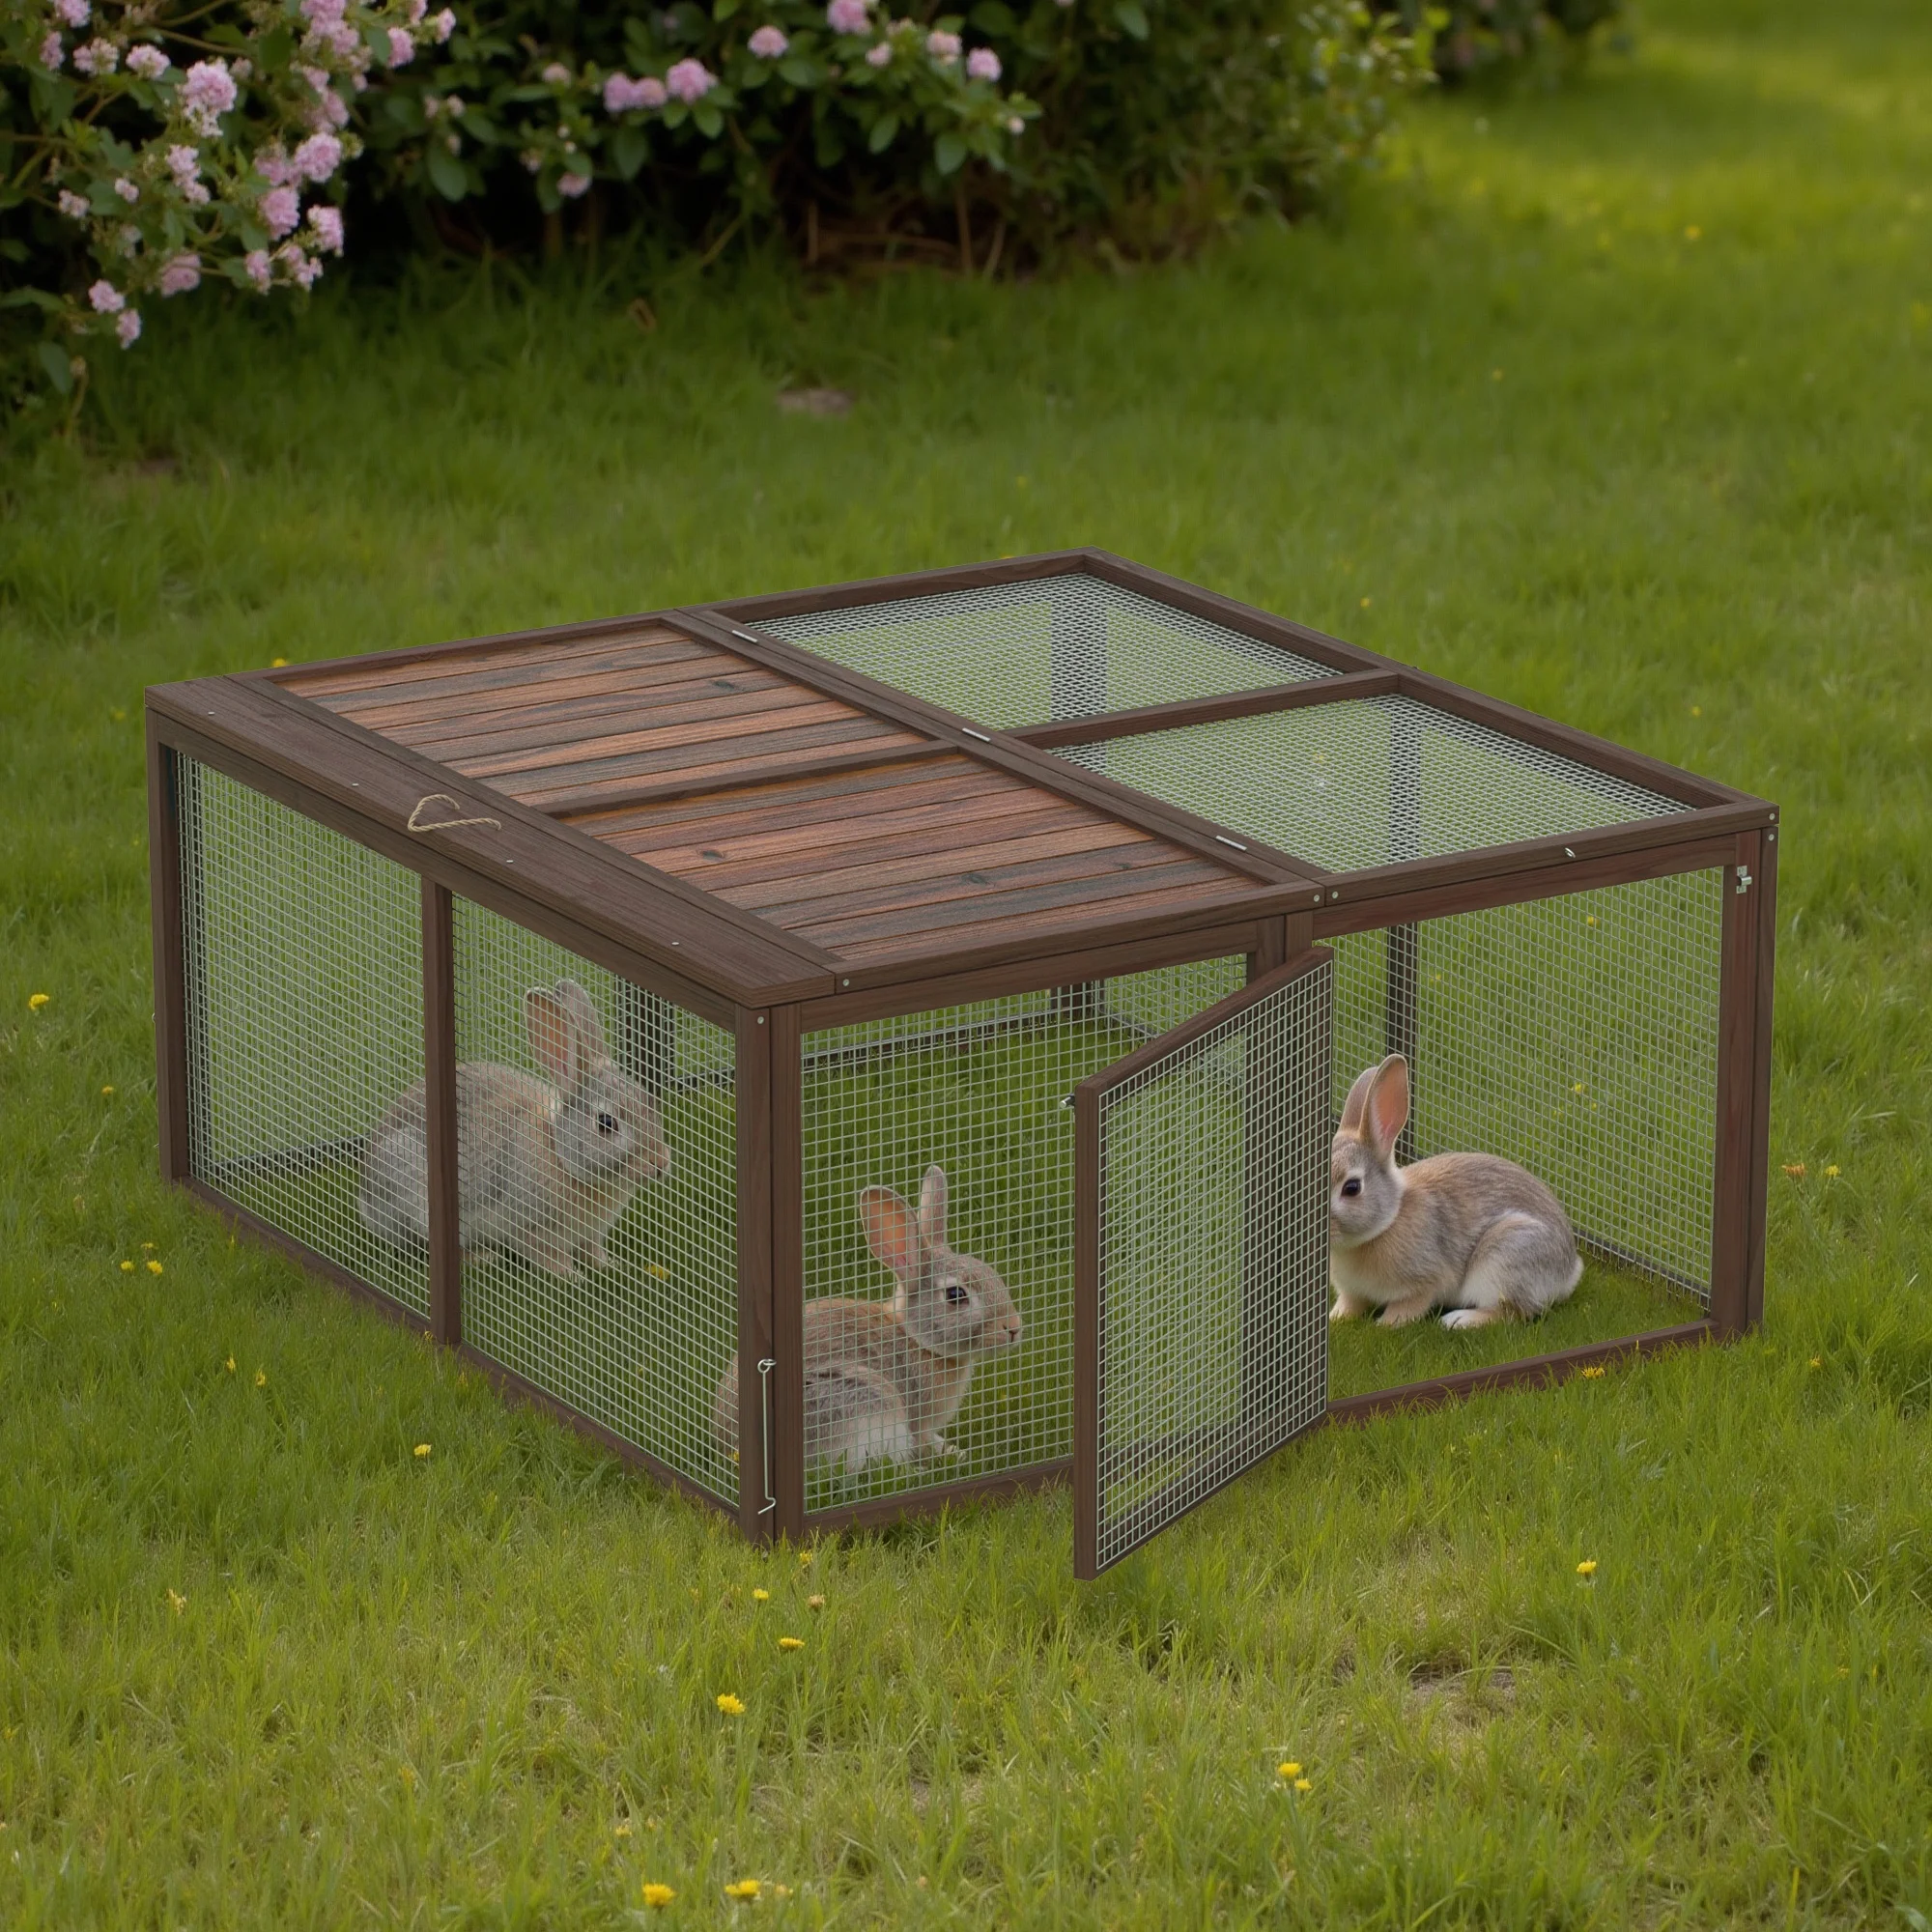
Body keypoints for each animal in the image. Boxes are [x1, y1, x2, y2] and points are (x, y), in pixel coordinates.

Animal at [357, 978, 672, 1279]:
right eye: (606, 1123)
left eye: (648, 1100)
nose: (660, 1162)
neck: (557, 1152)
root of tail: (366, 1202)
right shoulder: (529, 1225)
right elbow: (544, 1254)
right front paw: (570, 1276)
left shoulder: (590, 1234)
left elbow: (593, 1250)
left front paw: (608, 1265)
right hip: (412, 1183)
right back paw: (481, 1257)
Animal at [712, 1166, 1023, 1474]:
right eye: (956, 1294)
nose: (1014, 1328)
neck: (915, 1340)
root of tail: (728, 1443)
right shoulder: (915, 1417)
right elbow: (920, 1439)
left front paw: (954, 1453)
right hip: (864, 1398)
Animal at [1327, 1055, 1582, 1331]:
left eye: (1352, 1188)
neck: (1387, 1223)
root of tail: (1570, 1270)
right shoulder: (1352, 1293)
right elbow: (1350, 1305)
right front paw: (1335, 1318)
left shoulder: (1425, 1283)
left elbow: (1407, 1308)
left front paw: (1384, 1325)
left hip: (1505, 1255)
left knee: (1513, 1311)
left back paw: (1458, 1320)